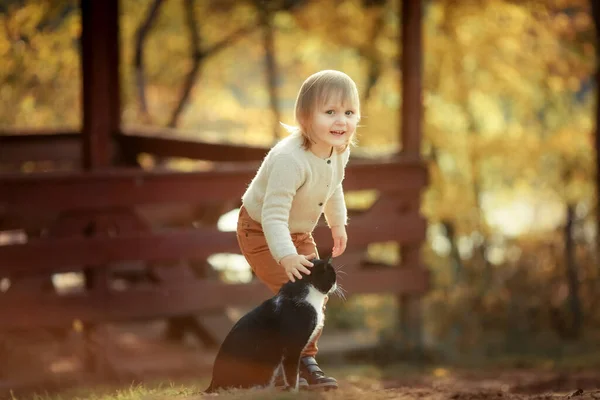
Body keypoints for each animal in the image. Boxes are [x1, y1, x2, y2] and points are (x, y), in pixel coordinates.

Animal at [205, 256, 338, 390]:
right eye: (333, 277)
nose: (336, 285)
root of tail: (213, 382)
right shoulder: (292, 346)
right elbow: (292, 374)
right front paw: (294, 390)